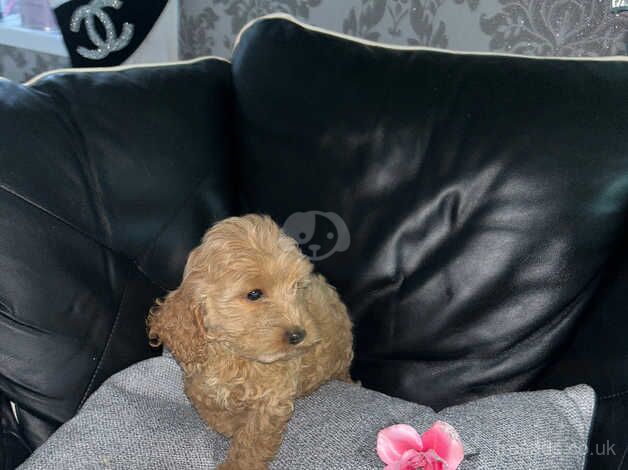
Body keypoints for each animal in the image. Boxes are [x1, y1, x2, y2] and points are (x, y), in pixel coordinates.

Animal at [147, 214, 354, 470]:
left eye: (296, 287)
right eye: (254, 294)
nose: (299, 335)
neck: (234, 354)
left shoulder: (273, 400)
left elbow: (252, 441)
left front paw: (237, 459)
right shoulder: (196, 382)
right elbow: (210, 407)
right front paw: (231, 422)